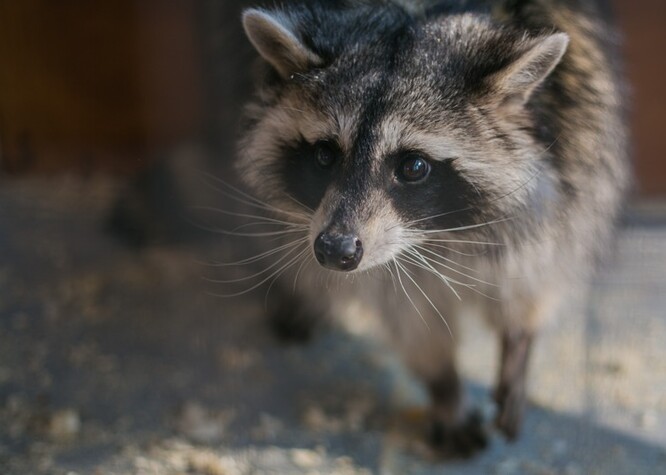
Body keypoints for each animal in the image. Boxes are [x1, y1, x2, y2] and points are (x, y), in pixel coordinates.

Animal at [235, 0, 628, 456]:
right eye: (324, 155)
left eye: (414, 167)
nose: (335, 250)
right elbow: (407, 312)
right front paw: (445, 385)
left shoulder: (576, 137)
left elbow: (542, 259)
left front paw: (520, 339)